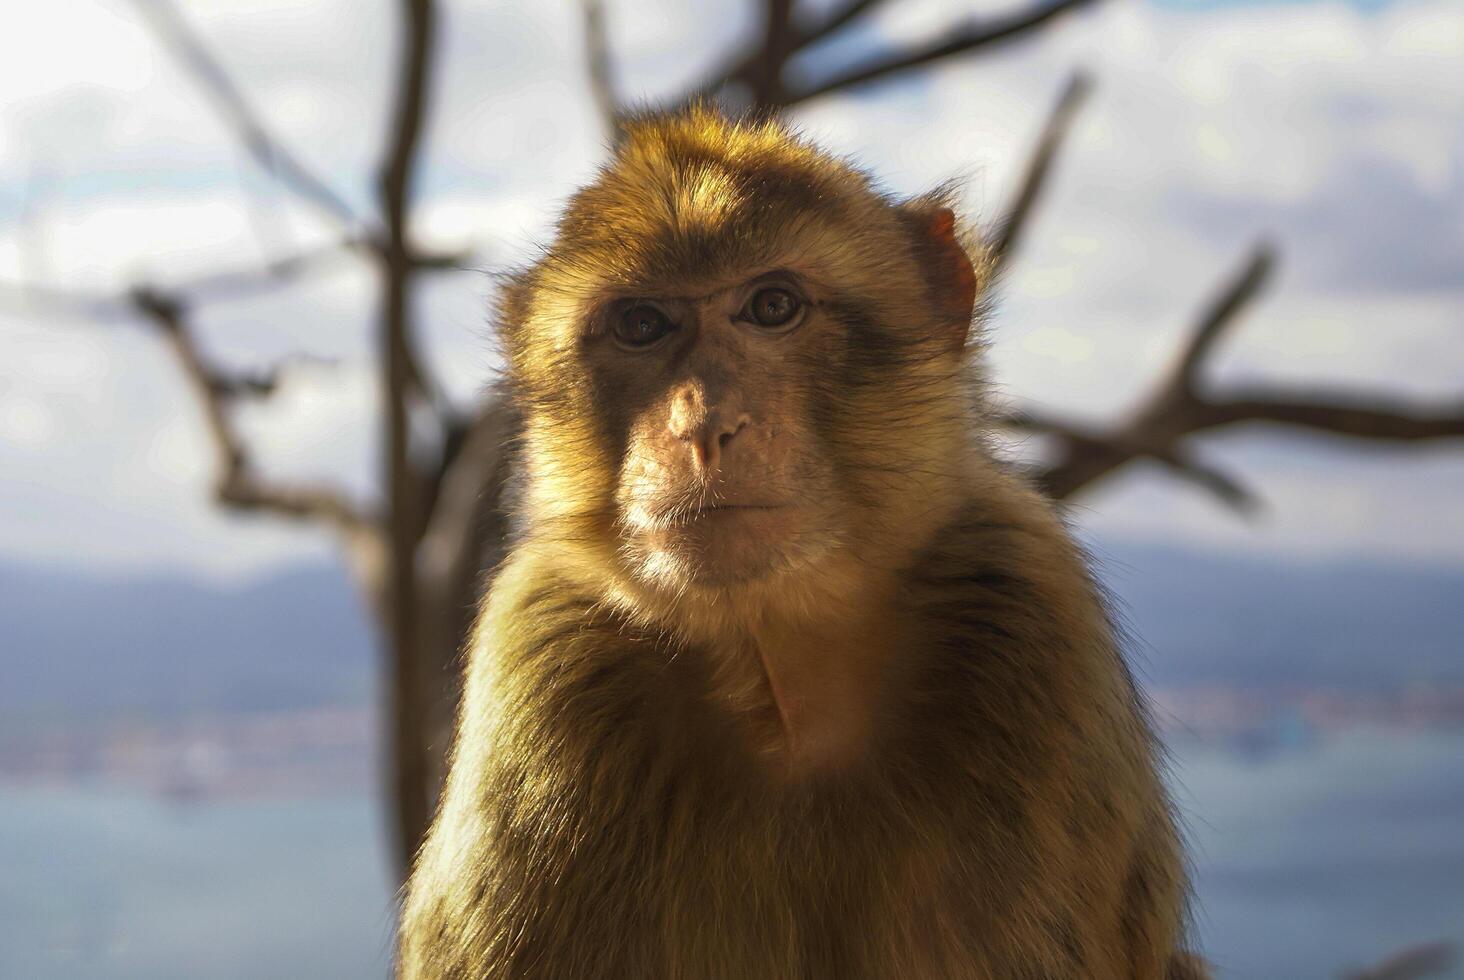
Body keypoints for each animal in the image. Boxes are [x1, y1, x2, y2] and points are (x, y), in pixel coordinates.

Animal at [398, 106, 1200, 978]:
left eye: (773, 306)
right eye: (642, 325)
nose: (701, 425)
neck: (783, 666)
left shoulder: (1031, 606)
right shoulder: (538, 652)